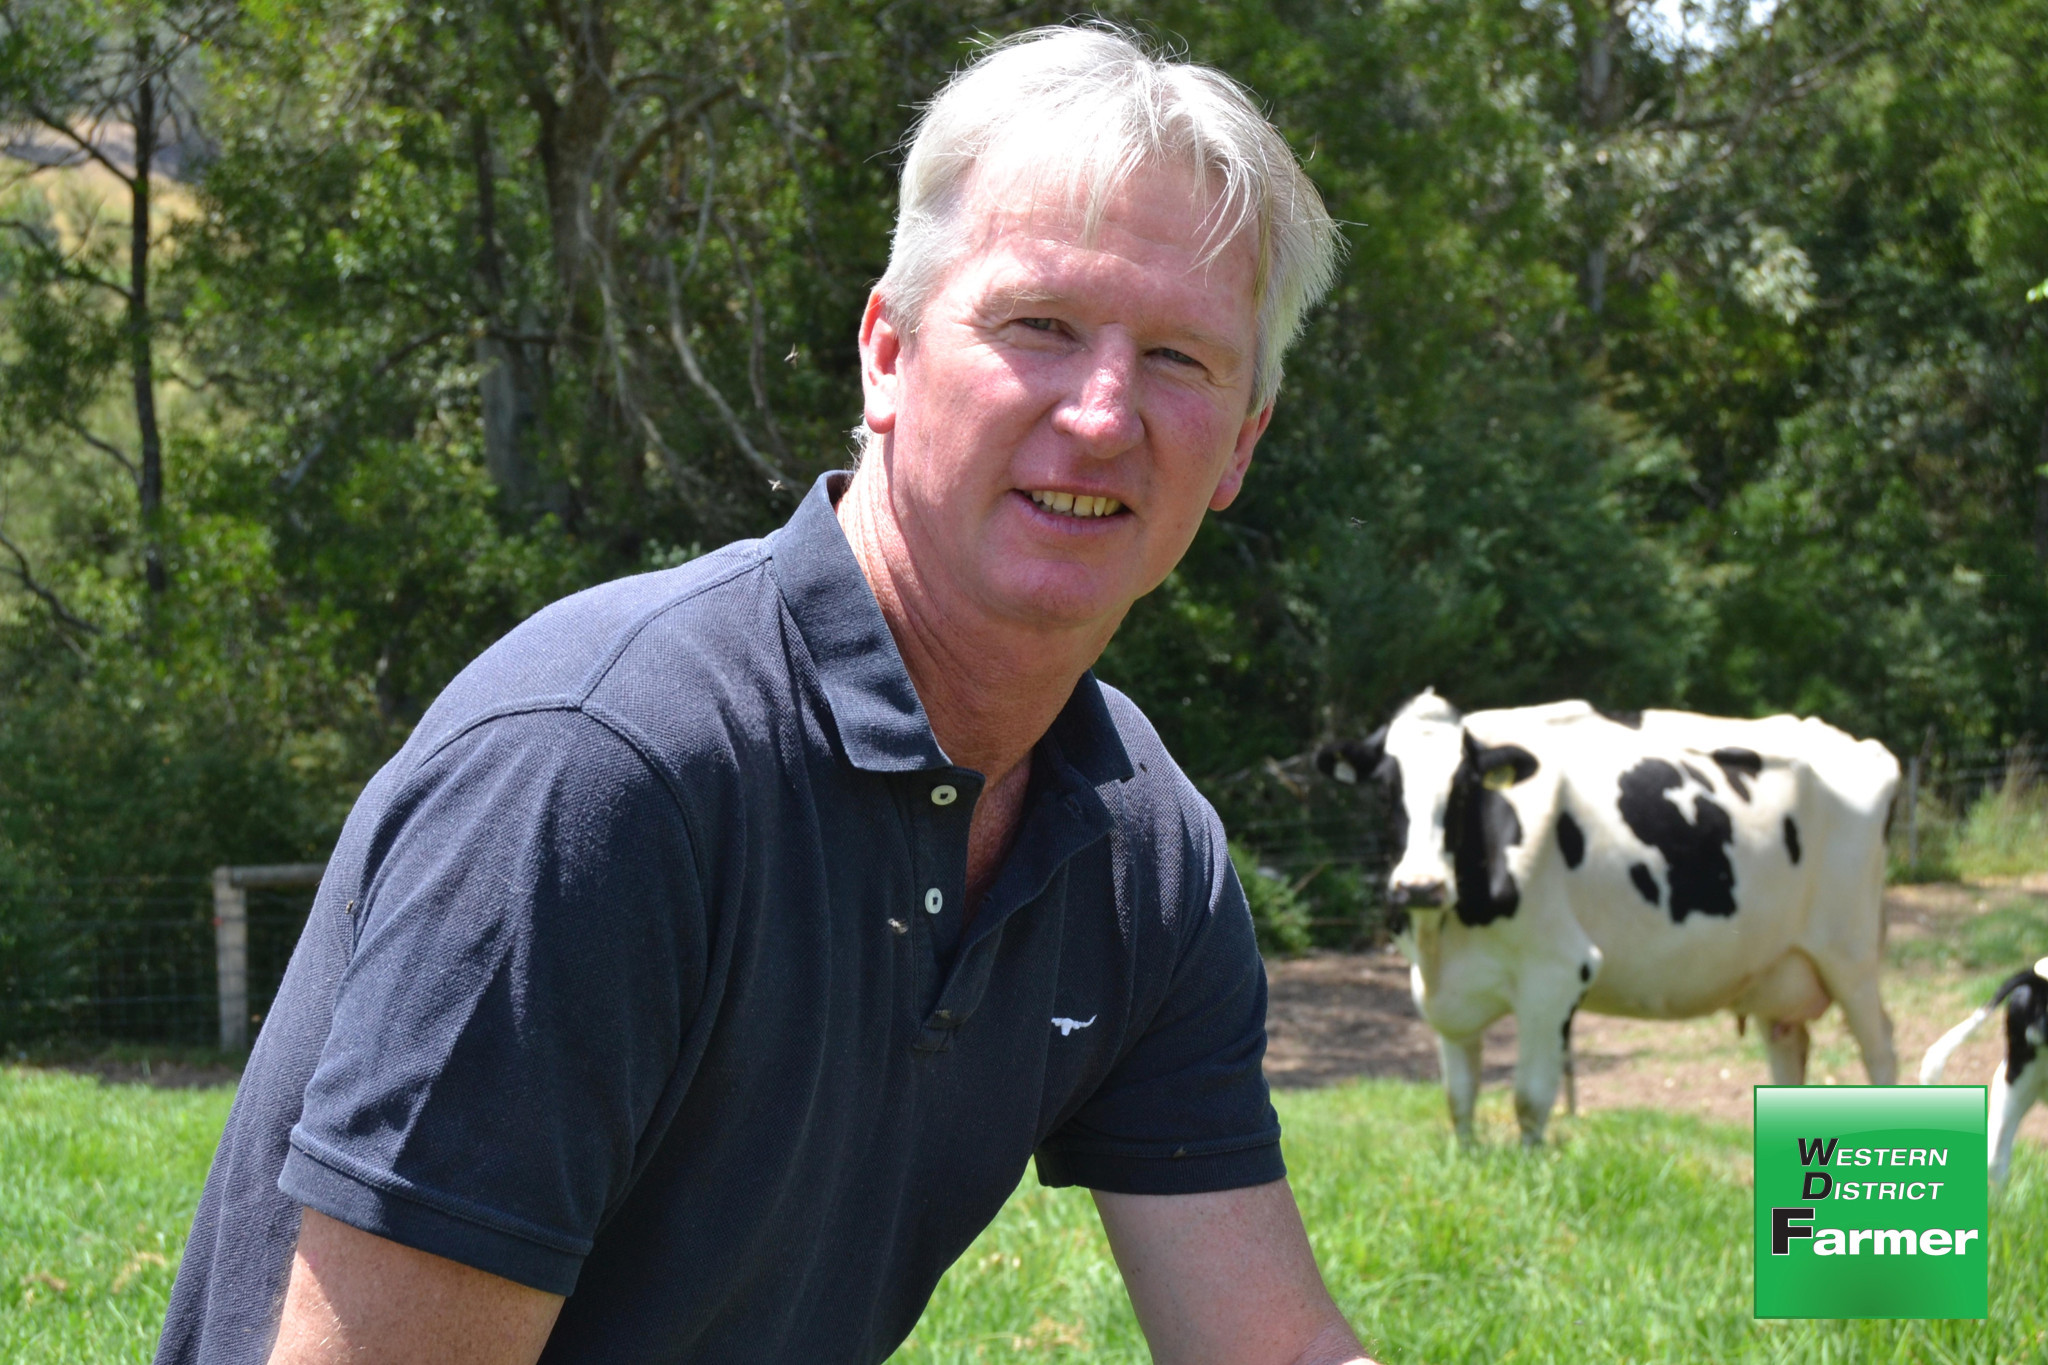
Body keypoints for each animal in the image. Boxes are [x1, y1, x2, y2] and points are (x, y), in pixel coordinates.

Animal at [1318, 687, 1892, 1146]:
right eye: (1386, 787)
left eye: (1463, 787)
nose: (1420, 885)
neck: (1445, 940)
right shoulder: (1444, 991)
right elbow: (1459, 1100)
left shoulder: (1555, 973)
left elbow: (1529, 1100)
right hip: (1778, 970)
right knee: (1789, 1049)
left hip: (1852, 955)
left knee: (1880, 1048)